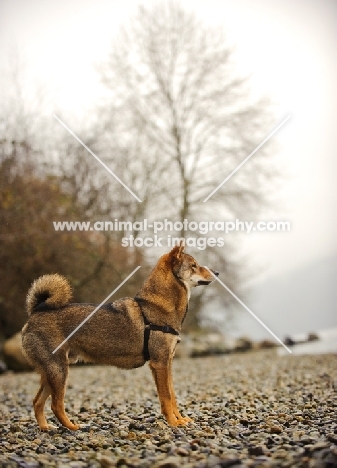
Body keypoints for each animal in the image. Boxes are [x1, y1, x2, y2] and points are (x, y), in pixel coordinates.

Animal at [22, 245, 219, 432]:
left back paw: (45, 427)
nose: (216, 273)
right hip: (59, 371)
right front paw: (173, 422)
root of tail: (36, 311)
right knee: (56, 405)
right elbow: (167, 398)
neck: (157, 306)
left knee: (37, 402)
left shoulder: (167, 363)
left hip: (52, 372)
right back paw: (72, 427)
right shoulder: (160, 364)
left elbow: (173, 396)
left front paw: (180, 419)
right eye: (194, 265)